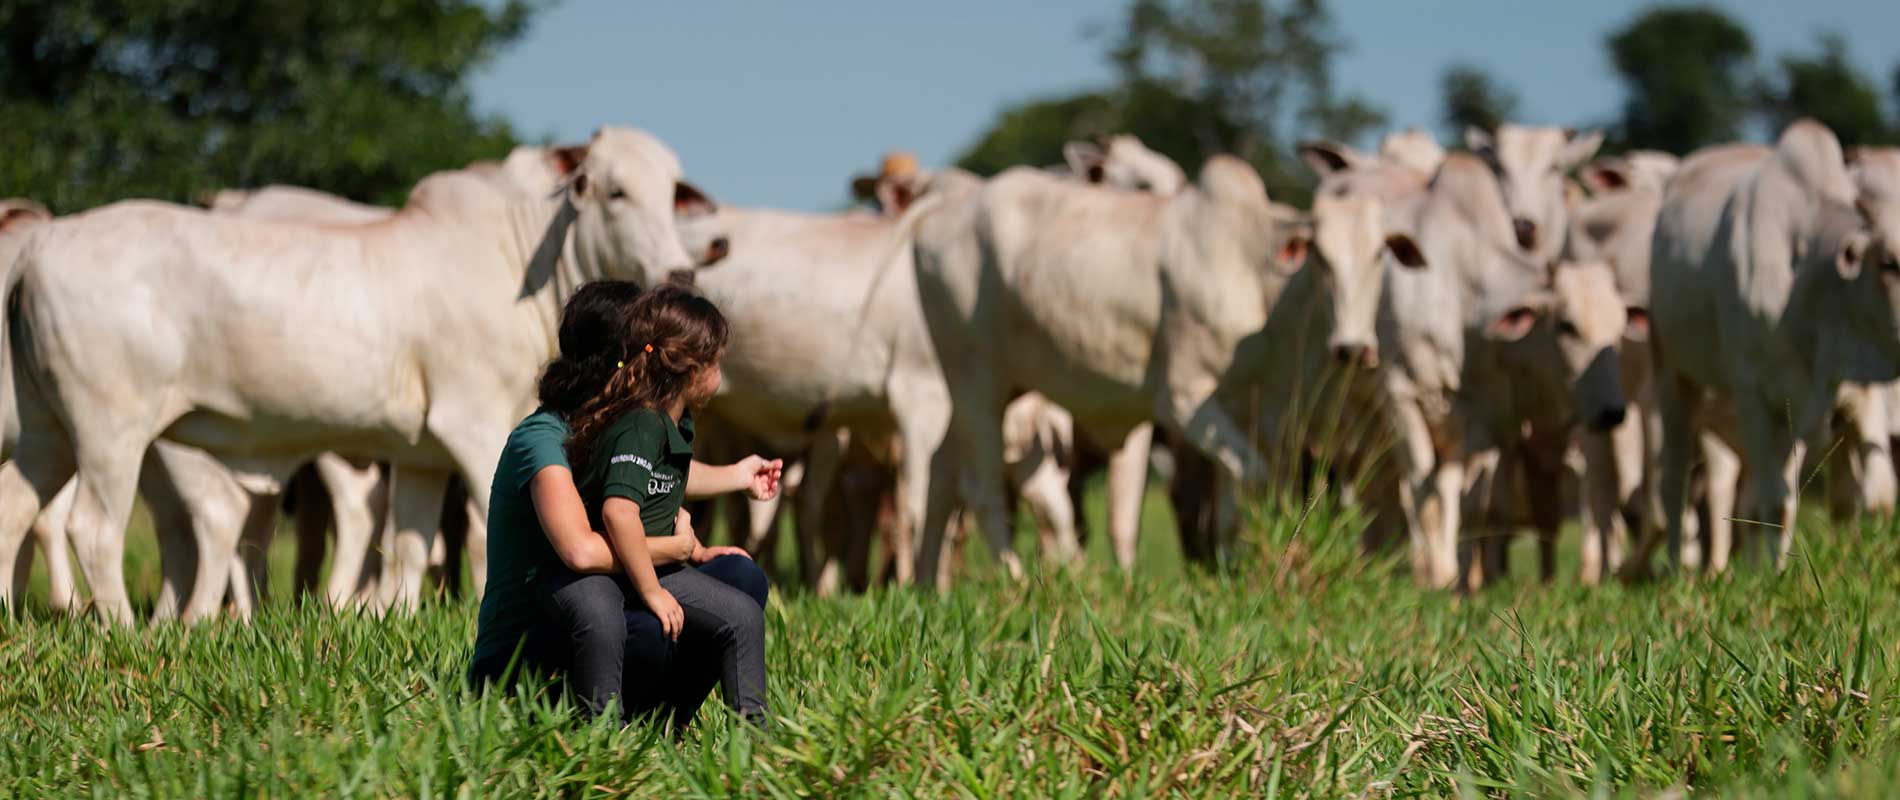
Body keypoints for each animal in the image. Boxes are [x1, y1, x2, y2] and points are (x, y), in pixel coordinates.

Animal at [0, 126, 714, 623]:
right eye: (615, 191)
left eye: (673, 195)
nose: (681, 270)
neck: (520, 256)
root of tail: (41, 243)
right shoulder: (478, 420)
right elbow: (484, 532)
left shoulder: (423, 454)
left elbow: (410, 545)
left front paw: (399, 616)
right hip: (110, 428)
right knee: (93, 527)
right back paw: (123, 629)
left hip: (46, 431)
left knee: (16, 512)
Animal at [1641, 118, 1892, 570]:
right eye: (1888, 262)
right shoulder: (1752, 393)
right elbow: (1774, 501)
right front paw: (1773, 574)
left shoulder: (1821, 404)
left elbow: (1812, 498)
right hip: (1671, 373)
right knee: (1675, 482)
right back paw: (1678, 569)